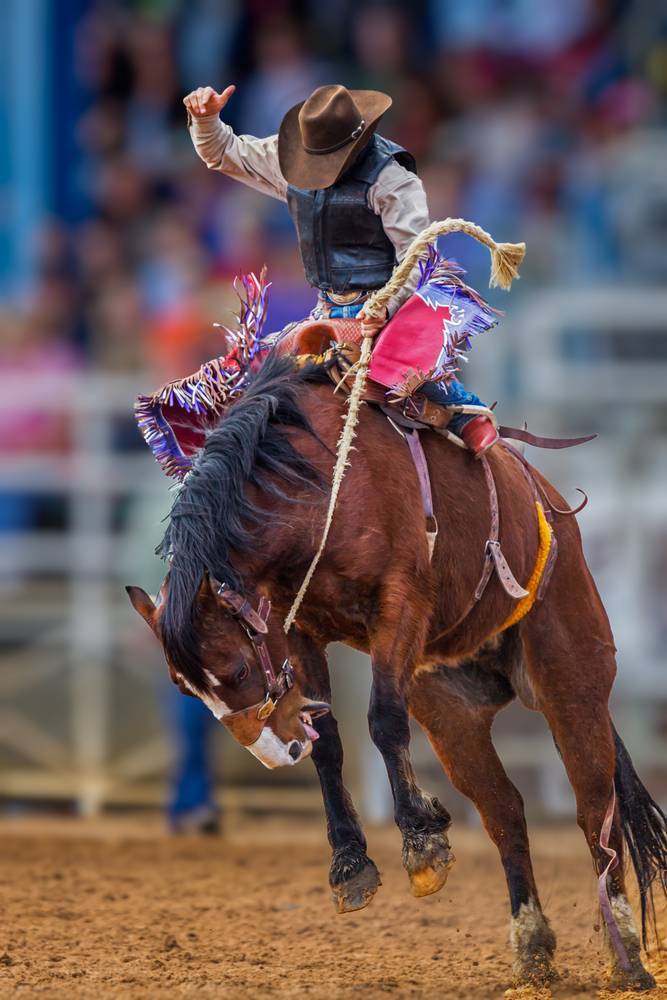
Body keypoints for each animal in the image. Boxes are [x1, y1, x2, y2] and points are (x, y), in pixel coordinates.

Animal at [126, 221, 667, 992]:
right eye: (184, 687)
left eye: (232, 668)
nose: (273, 753)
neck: (319, 479)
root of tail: (553, 511)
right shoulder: (300, 630)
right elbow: (332, 742)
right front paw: (353, 866)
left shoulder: (400, 607)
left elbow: (381, 719)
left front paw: (421, 842)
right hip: (452, 710)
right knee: (506, 812)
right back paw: (531, 947)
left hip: (572, 683)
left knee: (596, 811)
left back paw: (625, 957)